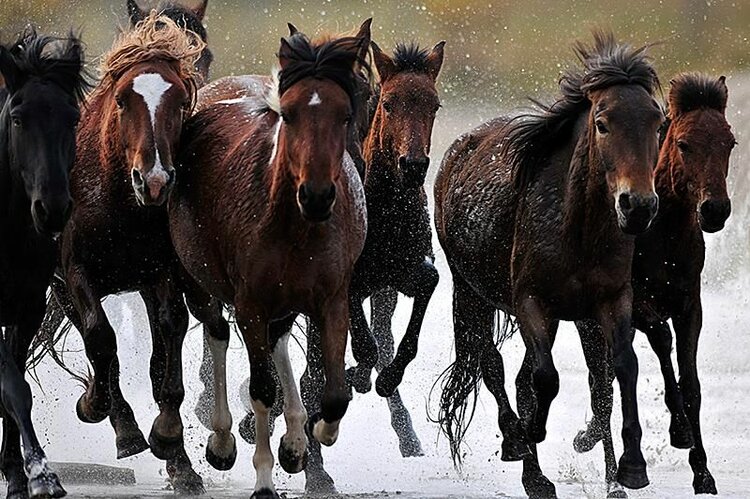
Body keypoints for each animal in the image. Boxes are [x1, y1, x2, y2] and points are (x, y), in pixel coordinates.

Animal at [46, 13, 209, 494]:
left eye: (180, 101)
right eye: (122, 100)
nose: (153, 181)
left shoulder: (160, 274)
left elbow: (168, 341)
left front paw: (173, 449)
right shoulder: (75, 273)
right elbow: (100, 339)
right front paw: (100, 410)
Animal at [168, 22, 371, 498]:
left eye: (345, 114)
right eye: (289, 114)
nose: (317, 196)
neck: (296, 225)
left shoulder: (332, 300)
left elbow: (335, 394)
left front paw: (311, 439)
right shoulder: (251, 303)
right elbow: (262, 389)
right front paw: (262, 478)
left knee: (276, 343)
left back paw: (294, 441)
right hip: (198, 284)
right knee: (218, 334)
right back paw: (222, 442)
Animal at [433, 31, 663, 498]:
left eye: (657, 122)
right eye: (602, 123)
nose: (638, 206)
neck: (575, 229)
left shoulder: (609, 300)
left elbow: (621, 369)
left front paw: (630, 468)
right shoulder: (531, 302)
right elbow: (544, 378)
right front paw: (530, 435)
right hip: (469, 291)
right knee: (492, 364)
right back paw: (519, 448)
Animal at [573, 73, 735, 496]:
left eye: (730, 142)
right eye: (683, 144)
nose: (715, 210)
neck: (665, 235)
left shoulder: (690, 304)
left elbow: (691, 382)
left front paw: (703, 473)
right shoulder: (637, 302)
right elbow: (661, 341)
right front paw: (680, 430)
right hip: (588, 319)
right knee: (599, 376)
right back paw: (591, 437)